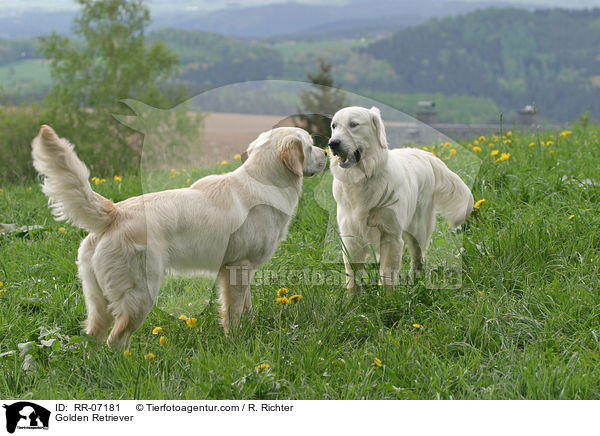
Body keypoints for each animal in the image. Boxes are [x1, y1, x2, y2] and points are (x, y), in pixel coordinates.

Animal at [31, 124, 326, 350]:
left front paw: (249, 329)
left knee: (94, 337)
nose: (328, 150)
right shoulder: (239, 266)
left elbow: (246, 306)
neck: (265, 180)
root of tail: (115, 212)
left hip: (97, 298)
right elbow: (234, 312)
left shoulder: (238, 269)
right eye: (311, 145)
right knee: (116, 339)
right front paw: (235, 341)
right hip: (140, 294)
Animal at [328, 107, 474, 294]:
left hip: (418, 228)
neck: (363, 179)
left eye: (353, 124)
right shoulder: (351, 236)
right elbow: (353, 276)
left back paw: (416, 281)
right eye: (334, 126)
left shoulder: (390, 235)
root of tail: (426, 155)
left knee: (418, 257)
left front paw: (387, 299)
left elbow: (387, 274)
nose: (332, 143)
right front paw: (352, 300)